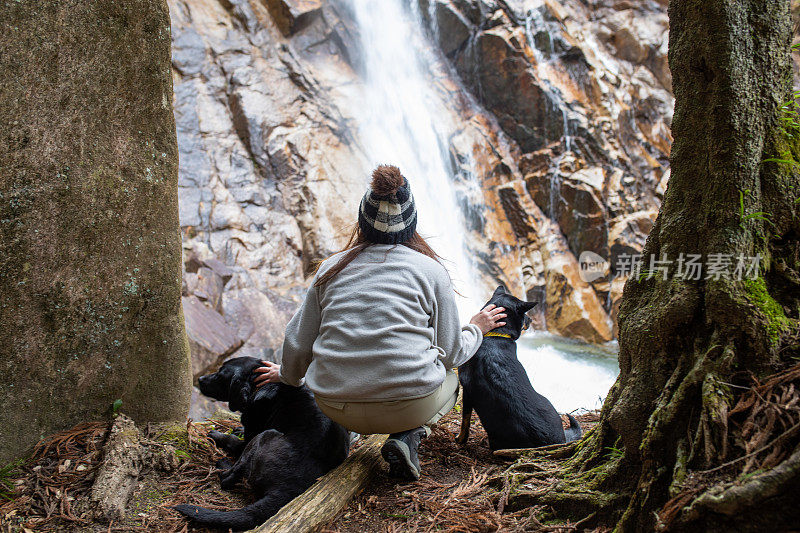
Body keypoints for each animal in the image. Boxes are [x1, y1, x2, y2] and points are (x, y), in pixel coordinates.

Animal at [175, 356, 350, 528]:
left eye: (220, 375)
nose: (200, 379)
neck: (260, 385)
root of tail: (288, 490)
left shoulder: (248, 439)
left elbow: (232, 441)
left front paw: (217, 435)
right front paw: (238, 429)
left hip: (264, 436)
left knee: (230, 478)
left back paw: (223, 465)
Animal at [456, 286, 580, 448]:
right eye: (525, 314)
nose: (531, 320)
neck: (495, 335)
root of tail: (555, 441)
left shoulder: (467, 390)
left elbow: (465, 420)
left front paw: (460, 439)